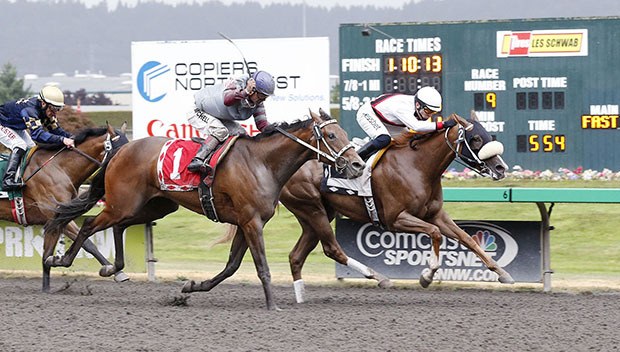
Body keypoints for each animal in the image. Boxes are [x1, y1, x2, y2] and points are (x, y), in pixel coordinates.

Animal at [0, 123, 128, 292]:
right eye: (120, 150)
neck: (59, 168)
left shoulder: (64, 215)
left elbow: (88, 244)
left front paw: (116, 272)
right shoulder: (56, 215)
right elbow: (49, 251)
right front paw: (46, 287)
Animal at [44, 108, 364, 310]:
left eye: (342, 132)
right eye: (332, 136)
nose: (358, 164)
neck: (262, 163)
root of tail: (122, 148)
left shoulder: (247, 221)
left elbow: (231, 266)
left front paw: (191, 287)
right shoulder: (251, 222)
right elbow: (261, 266)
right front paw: (273, 305)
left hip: (155, 206)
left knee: (119, 226)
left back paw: (113, 267)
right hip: (122, 203)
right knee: (90, 225)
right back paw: (58, 259)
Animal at [278, 111, 512, 302]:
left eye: (489, 136)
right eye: (475, 139)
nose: (501, 168)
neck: (418, 166)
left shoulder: (436, 214)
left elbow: (467, 239)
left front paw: (502, 273)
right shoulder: (396, 219)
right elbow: (435, 233)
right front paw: (427, 276)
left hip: (318, 215)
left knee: (296, 256)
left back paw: (300, 297)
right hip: (312, 208)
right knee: (331, 249)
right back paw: (380, 277)